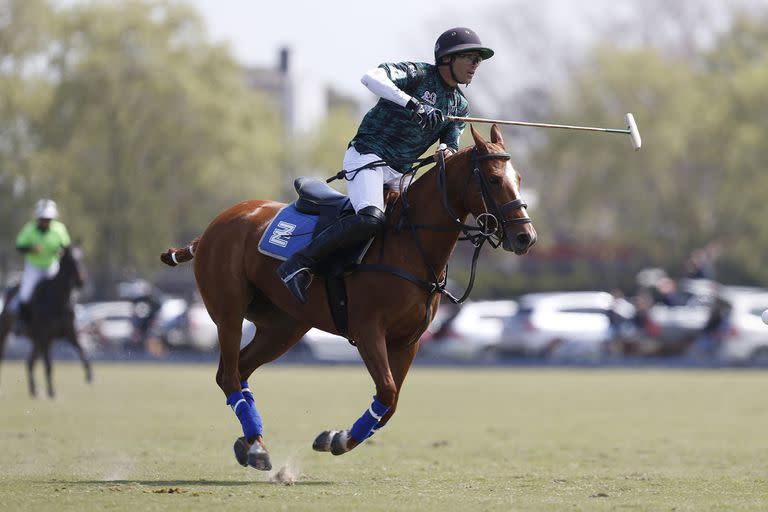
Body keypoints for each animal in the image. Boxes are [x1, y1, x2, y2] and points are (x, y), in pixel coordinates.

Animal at [0, 244, 91, 396]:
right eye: (69, 260)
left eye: (82, 257)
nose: (81, 281)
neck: (58, 299)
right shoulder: (45, 336)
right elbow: (48, 364)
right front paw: (52, 392)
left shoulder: (69, 333)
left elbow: (82, 351)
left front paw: (89, 375)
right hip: (7, 333)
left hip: (36, 340)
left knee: (30, 362)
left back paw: (34, 390)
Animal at [160, 126, 536, 470]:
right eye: (493, 179)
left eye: (518, 178)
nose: (525, 237)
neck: (409, 243)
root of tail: (212, 228)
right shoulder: (368, 329)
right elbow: (387, 390)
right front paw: (338, 439)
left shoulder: (408, 340)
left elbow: (391, 403)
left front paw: (334, 437)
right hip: (229, 313)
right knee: (228, 375)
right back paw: (255, 448)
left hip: (283, 327)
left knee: (240, 370)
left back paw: (251, 443)